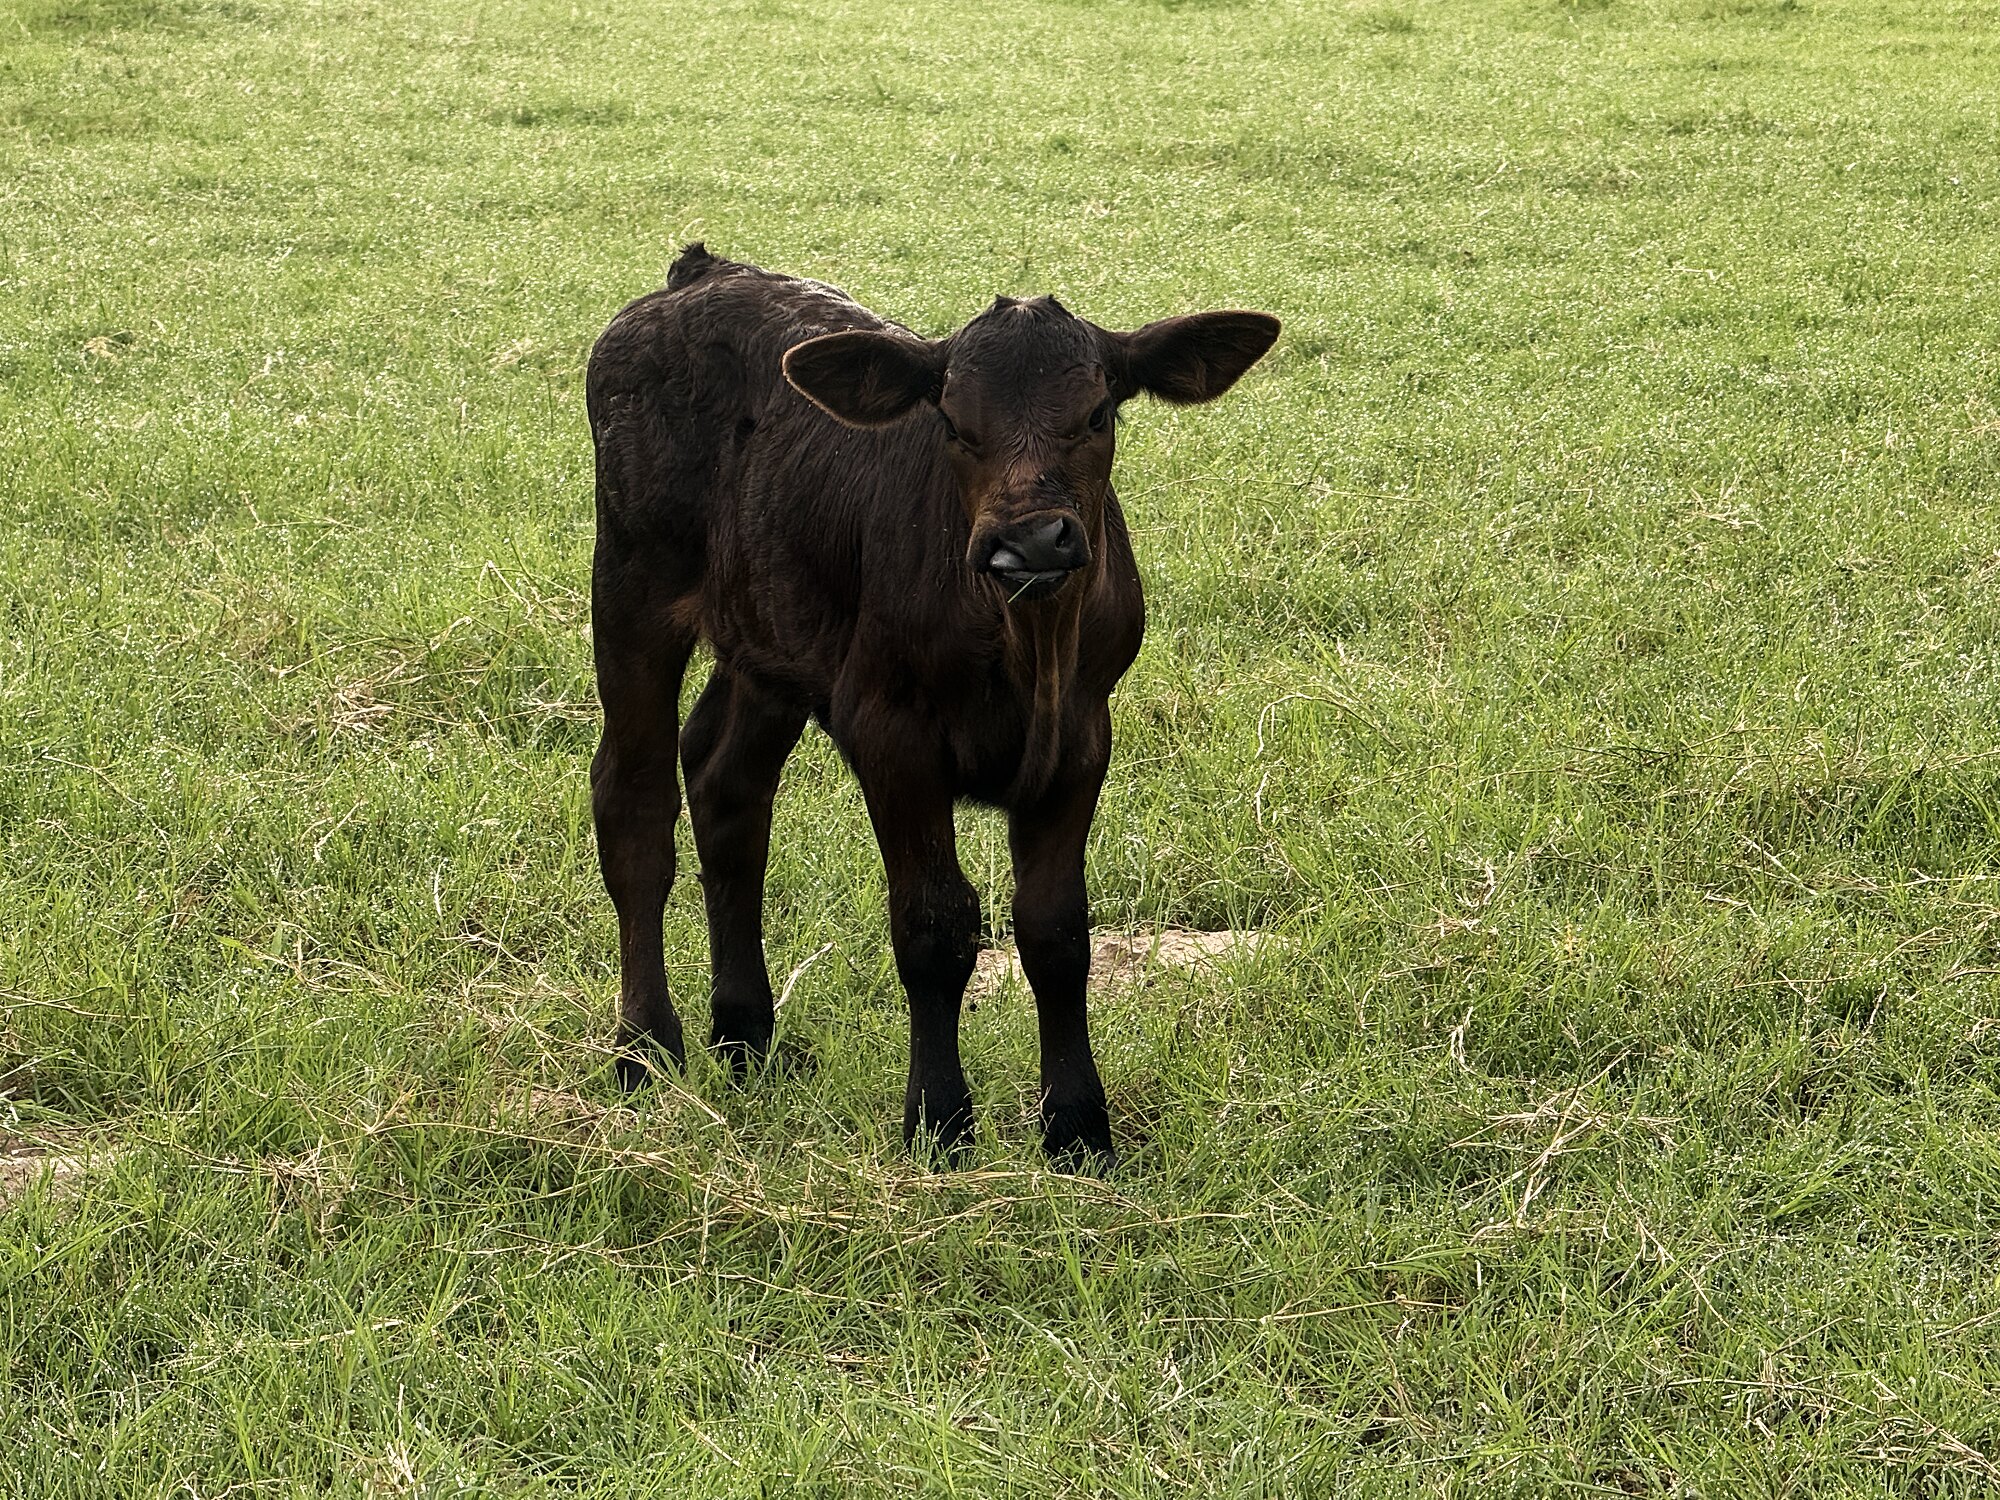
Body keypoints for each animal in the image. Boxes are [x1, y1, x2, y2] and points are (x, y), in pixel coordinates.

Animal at [586, 243, 1278, 1164]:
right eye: (952, 422)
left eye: (1097, 413)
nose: (1029, 539)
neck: (1027, 649)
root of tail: (700, 274)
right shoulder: (891, 734)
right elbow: (933, 927)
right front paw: (940, 1122)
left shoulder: (1083, 739)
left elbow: (1056, 930)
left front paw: (1078, 1129)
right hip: (633, 584)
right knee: (634, 802)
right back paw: (646, 1048)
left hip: (771, 636)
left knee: (727, 784)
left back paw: (746, 1035)